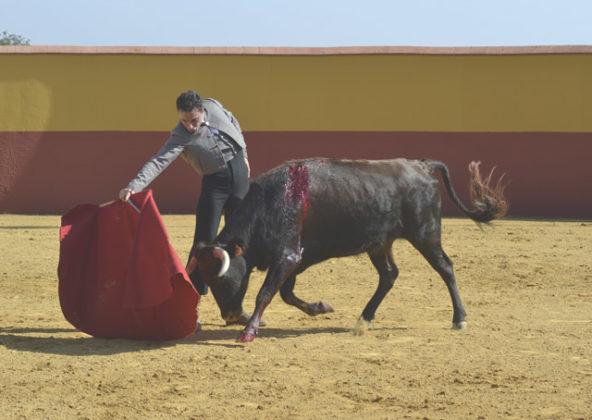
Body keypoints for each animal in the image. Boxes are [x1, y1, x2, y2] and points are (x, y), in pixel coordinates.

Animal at [186, 158, 508, 342]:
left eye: (220, 278)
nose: (229, 316)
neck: (273, 199)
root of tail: (422, 165)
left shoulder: (288, 255)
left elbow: (266, 293)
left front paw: (248, 332)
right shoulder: (297, 258)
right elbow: (287, 293)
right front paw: (320, 308)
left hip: (425, 234)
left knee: (445, 267)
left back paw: (459, 318)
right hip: (380, 243)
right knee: (389, 275)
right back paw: (363, 319)